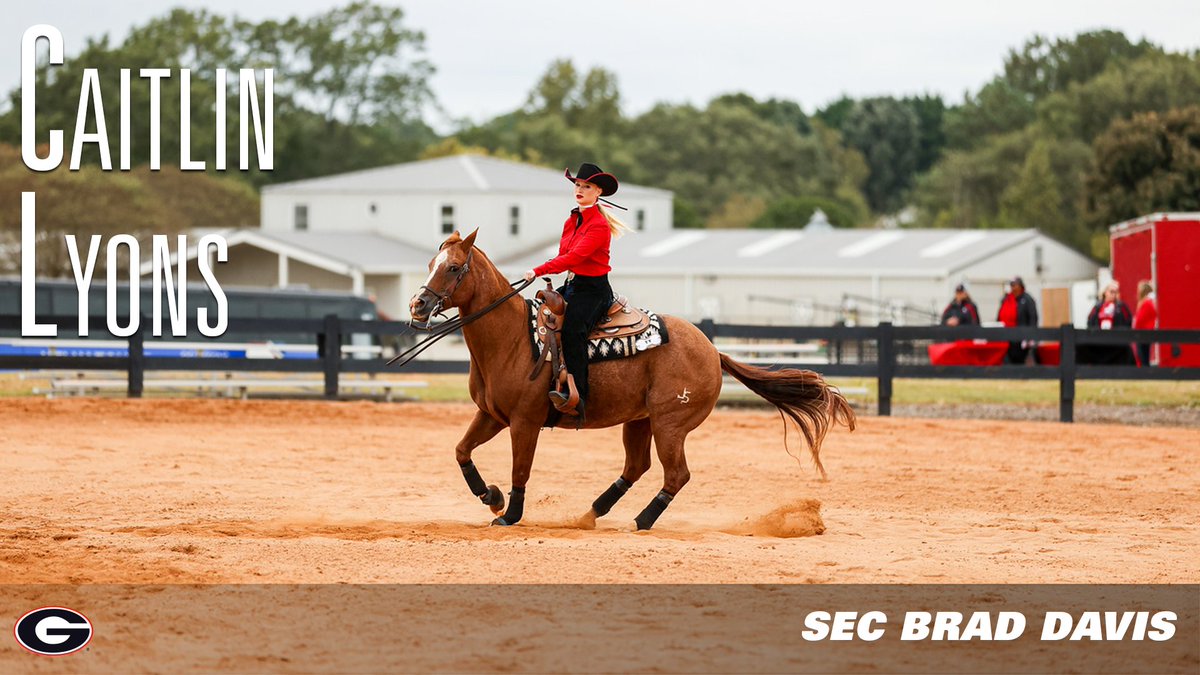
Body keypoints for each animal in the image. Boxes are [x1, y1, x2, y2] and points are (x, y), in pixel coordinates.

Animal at [408, 228, 859, 528]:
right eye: (430, 264)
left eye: (452, 267)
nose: (418, 305)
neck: (512, 339)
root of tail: (712, 350)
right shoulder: (492, 415)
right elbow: (462, 451)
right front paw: (491, 496)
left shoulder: (525, 422)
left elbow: (521, 469)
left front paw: (510, 513)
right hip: (640, 420)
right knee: (637, 466)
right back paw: (591, 513)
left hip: (669, 424)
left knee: (676, 474)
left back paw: (641, 521)